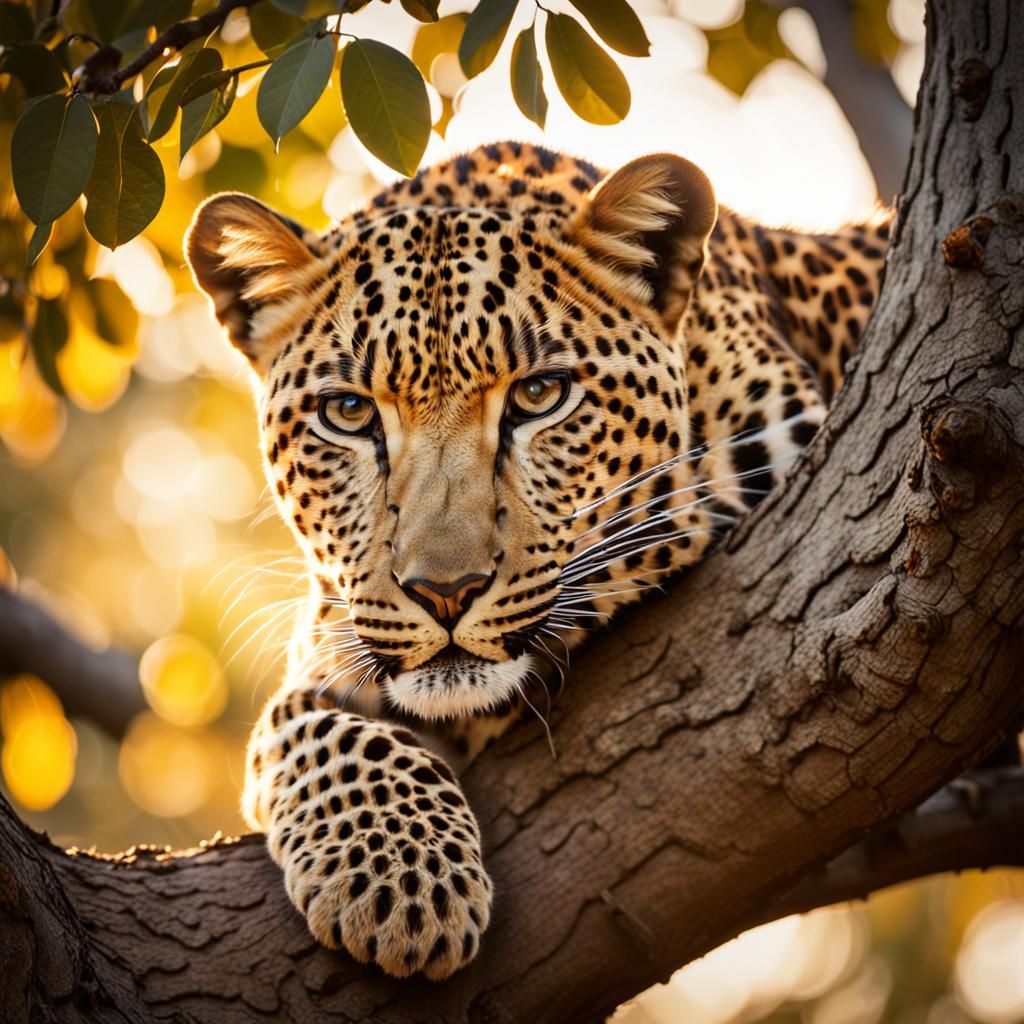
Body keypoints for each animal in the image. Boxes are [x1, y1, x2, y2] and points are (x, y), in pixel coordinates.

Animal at [185, 141, 890, 981]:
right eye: (348, 412)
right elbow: (296, 722)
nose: (445, 593)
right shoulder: (337, 638)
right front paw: (402, 879)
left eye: (541, 395)